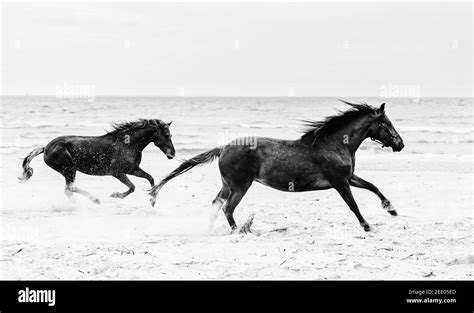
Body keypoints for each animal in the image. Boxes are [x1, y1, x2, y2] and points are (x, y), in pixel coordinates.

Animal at [20, 118, 175, 204]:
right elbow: (132, 187)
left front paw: (153, 198)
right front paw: (116, 195)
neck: (127, 144)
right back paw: (94, 200)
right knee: (71, 188)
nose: (172, 154)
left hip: (68, 171)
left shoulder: (133, 169)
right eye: (167, 135)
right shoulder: (118, 172)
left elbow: (150, 179)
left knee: (68, 190)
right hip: (69, 169)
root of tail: (46, 148)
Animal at [151, 101, 404, 230]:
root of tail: (223, 147)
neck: (332, 145)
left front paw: (391, 209)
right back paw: (240, 231)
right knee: (227, 208)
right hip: (241, 185)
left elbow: (373, 186)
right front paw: (367, 226)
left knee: (216, 204)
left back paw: (212, 230)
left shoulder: (349, 177)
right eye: (386, 123)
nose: (400, 144)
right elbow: (353, 205)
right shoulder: (340, 182)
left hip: (228, 185)